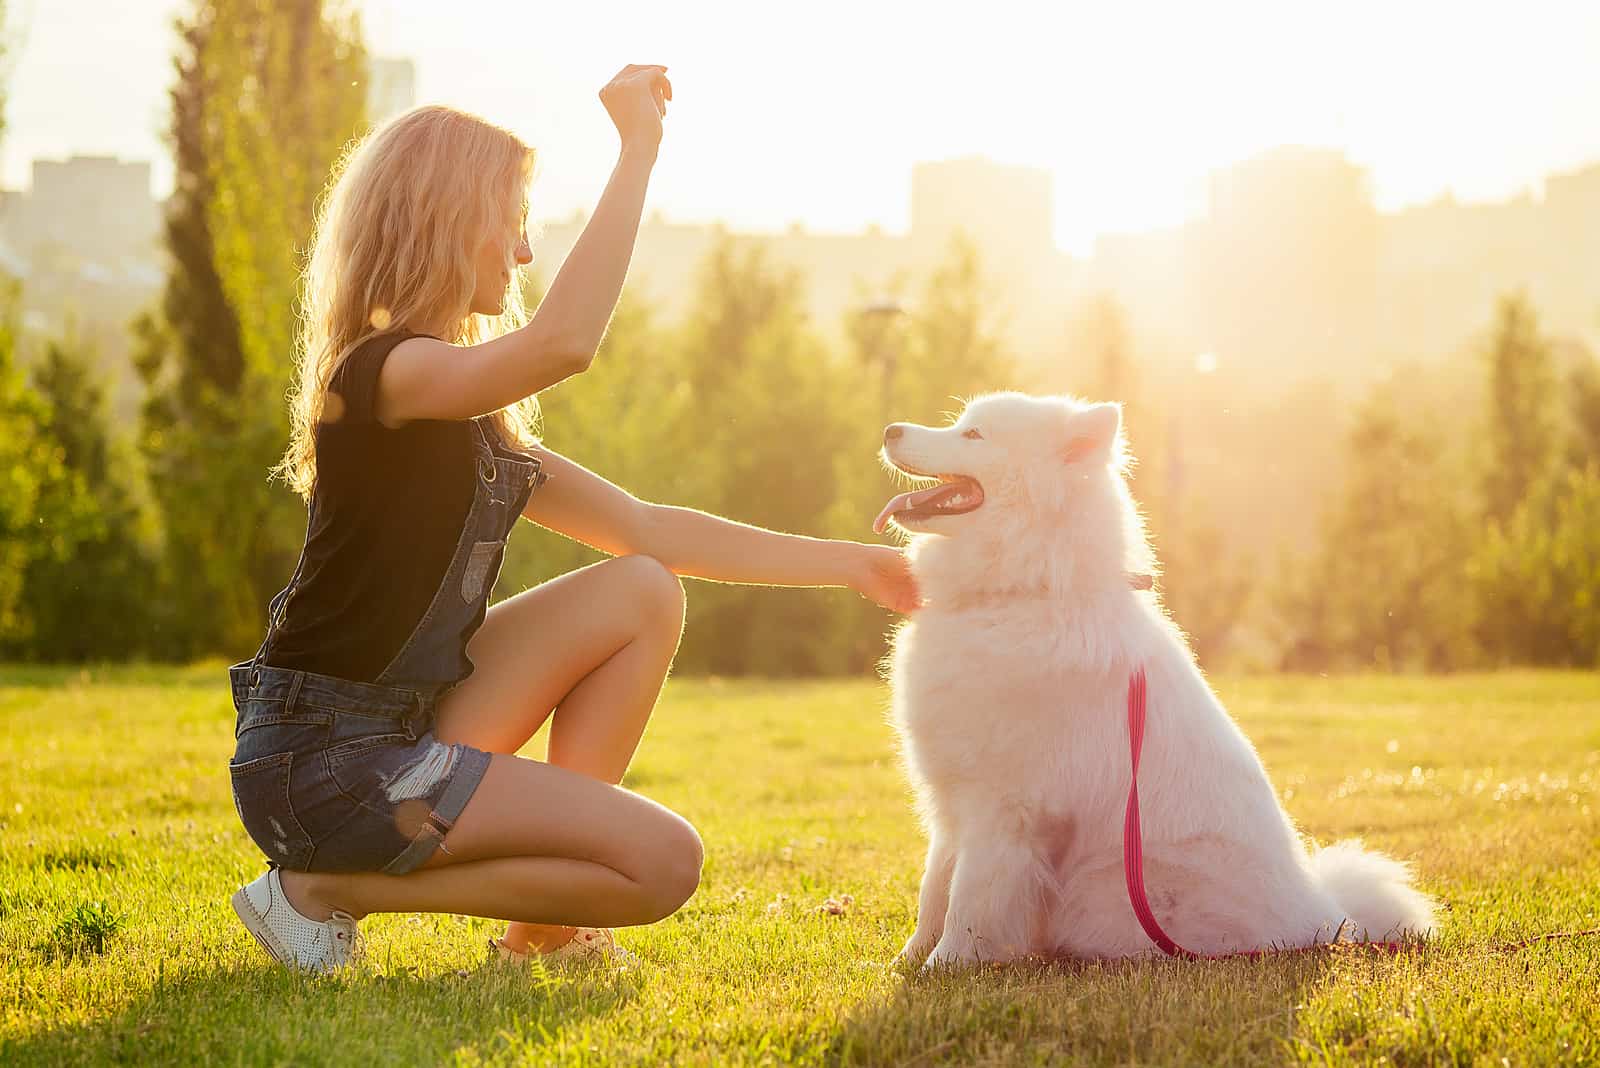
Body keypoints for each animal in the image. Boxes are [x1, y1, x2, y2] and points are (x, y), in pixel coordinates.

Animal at [876, 391, 1440, 965]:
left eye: (974, 435)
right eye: (961, 423)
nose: (890, 429)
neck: (1022, 593)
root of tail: (1330, 920)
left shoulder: (1005, 807)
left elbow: (970, 898)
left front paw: (947, 964)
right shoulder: (952, 799)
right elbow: (934, 887)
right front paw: (908, 960)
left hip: (1103, 889)